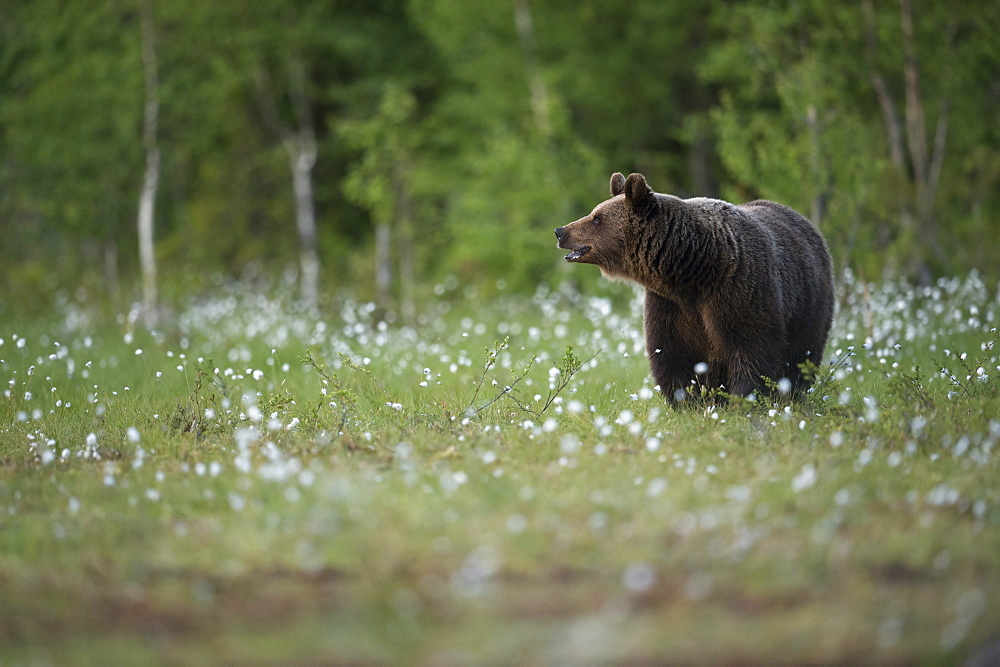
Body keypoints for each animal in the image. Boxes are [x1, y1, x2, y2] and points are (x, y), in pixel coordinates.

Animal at [556, 174, 836, 402]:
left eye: (597, 218)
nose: (560, 231)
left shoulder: (740, 289)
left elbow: (752, 348)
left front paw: (743, 400)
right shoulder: (669, 306)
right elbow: (671, 355)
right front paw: (687, 401)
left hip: (809, 306)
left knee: (801, 357)